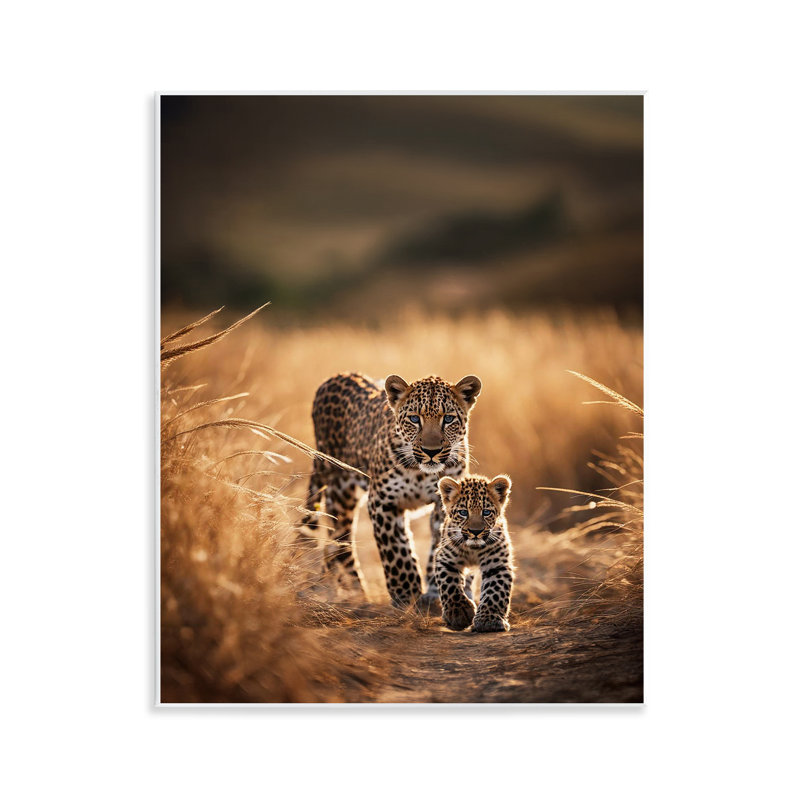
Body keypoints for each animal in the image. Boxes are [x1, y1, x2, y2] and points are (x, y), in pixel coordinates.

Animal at [298, 371, 481, 609]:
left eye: (448, 419)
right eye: (415, 419)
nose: (431, 451)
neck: (421, 473)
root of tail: (336, 376)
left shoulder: (448, 505)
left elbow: (441, 546)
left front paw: (437, 592)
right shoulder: (383, 501)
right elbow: (396, 550)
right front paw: (407, 594)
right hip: (337, 486)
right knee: (341, 537)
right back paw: (353, 592)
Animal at [434, 474, 515, 633]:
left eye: (486, 512)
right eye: (463, 512)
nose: (475, 532)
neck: (473, 550)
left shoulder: (498, 565)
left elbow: (495, 591)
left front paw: (488, 621)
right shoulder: (445, 559)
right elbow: (449, 584)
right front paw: (459, 612)